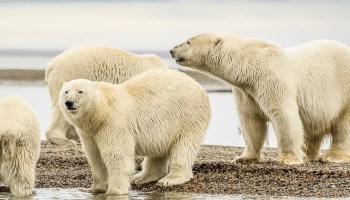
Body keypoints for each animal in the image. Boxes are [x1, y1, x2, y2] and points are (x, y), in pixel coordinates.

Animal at [58, 69, 211, 195]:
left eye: (80, 91)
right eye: (66, 92)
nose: (69, 102)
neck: (101, 111)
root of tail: (197, 85)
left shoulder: (113, 123)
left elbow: (116, 155)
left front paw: (115, 191)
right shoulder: (89, 132)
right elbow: (94, 156)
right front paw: (95, 188)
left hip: (187, 117)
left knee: (184, 147)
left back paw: (170, 179)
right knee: (158, 150)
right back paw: (141, 177)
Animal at [172, 32, 350, 164]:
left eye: (188, 42)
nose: (172, 50)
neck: (250, 64)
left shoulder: (272, 80)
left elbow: (283, 115)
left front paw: (288, 158)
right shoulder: (246, 91)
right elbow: (251, 120)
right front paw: (244, 158)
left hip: (344, 91)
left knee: (343, 125)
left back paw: (334, 156)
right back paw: (308, 153)